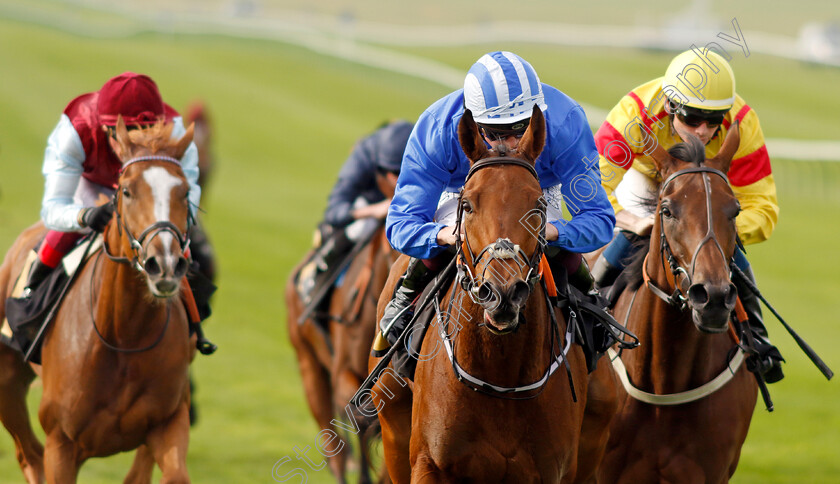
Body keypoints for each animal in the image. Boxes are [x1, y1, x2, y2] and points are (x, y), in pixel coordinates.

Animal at [0, 118, 199, 484]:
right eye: (127, 191)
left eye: (185, 192)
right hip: (7, 382)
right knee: (28, 454)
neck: (124, 335)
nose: (164, 264)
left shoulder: (169, 420)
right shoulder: (62, 442)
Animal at [370, 107, 616, 484]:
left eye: (538, 205)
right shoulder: (429, 463)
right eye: (468, 204)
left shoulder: (553, 471)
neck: (501, 377)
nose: (501, 293)